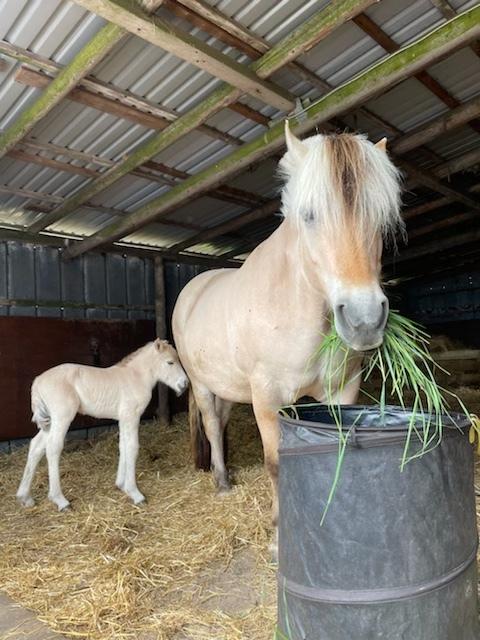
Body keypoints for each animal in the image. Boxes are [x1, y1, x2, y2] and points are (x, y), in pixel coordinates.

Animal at [15, 340, 188, 510]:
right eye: (170, 362)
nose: (184, 384)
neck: (136, 377)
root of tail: (37, 381)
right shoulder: (131, 416)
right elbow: (132, 448)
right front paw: (135, 493)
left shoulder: (123, 418)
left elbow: (123, 446)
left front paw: (121, 485)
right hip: (61, 417)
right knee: (52, 448)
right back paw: (60, 500)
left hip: (49, 421)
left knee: (36, 446)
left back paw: (25, 497)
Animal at [172, 122, 402, 552]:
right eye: (309, 216)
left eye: (381, 218)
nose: (364, 320)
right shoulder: (267, 398)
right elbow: (276, 463)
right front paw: (280, 536)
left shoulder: (342, 392)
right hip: (203, 385)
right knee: (210, 423)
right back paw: (222, 482)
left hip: (229, 387)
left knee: (221, 423)